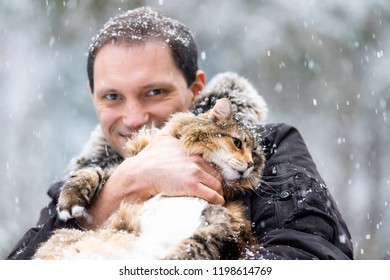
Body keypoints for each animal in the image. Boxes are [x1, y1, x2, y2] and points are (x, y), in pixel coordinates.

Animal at [32, 98, 266, 260]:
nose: (249, 164)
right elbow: (91, 173)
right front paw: (69, 203)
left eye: (255, 157)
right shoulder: (125, 166)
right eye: (237, 143)